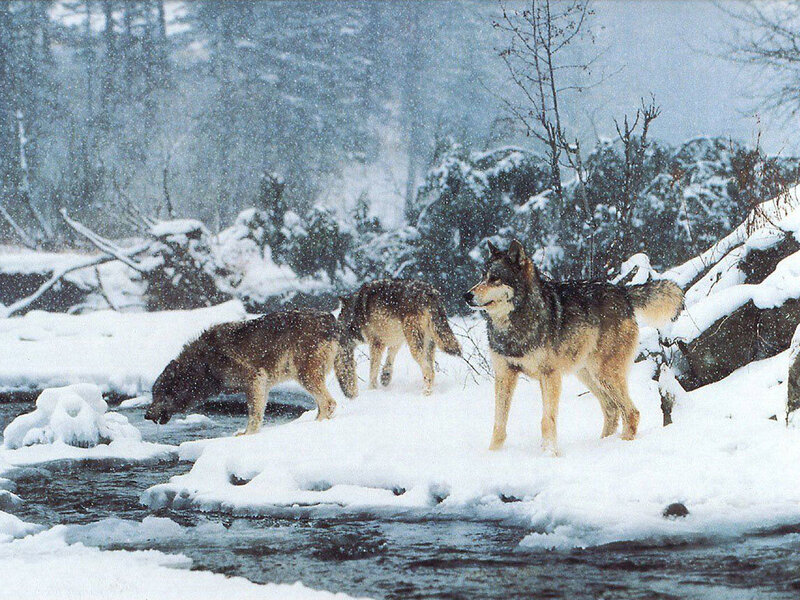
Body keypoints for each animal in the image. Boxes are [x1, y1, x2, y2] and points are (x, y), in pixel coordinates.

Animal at [144, 309, 357, 434]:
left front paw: (247, 435)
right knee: (324, 405)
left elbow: (253, 415)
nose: (146, 416)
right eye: (153, 394)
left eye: (159, 394)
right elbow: (258, 413)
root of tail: (331, 319)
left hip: (305, 377)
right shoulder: (262, 385)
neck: (204, 364)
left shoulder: (255, 380)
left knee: (329, 403)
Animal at [464, 240, 683, 455]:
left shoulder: (549, 375)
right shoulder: (504, 374)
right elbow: (499, 423)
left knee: (631, 412)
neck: (515, 324)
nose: (467, 295)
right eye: (482, 277)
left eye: (495, 278)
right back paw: (602, 444)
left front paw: (549, 454)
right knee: (612, 409)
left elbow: (547, 420)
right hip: (588, 375)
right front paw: (493, 454)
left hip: (604, 374)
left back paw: (621, 445)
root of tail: (622, 292)